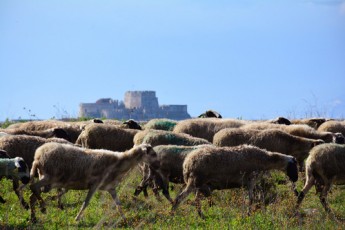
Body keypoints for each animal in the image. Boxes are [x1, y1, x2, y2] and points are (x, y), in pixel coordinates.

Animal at [28, 143, 160, 222]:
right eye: (153, 153)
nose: (158, 165)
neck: (119, 163)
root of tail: (37, 156)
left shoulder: (110, 188)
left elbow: (118, 204)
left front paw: (125, 219)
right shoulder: (94, 185)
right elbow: (85, 203)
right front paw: (77, 219)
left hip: (47, 180)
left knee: (32, 196)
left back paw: (34, 217)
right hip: (48, 177)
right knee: (33, 187)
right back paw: (42, 207)